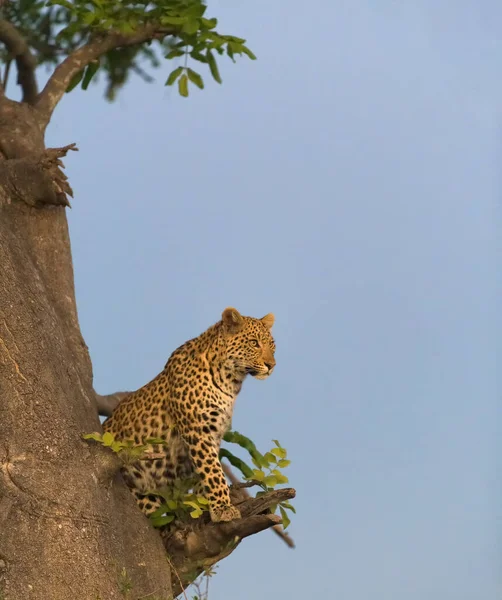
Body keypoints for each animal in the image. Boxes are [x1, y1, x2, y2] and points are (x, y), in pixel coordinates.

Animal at [101, 308, 274, 524]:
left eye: (272, 345)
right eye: (254, 343)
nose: (272, 365)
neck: (230, 382)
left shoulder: (215, 432)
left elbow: (205, 471)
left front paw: (202, 504)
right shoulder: (197, 429)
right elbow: (213, 470)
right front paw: (223, 508)